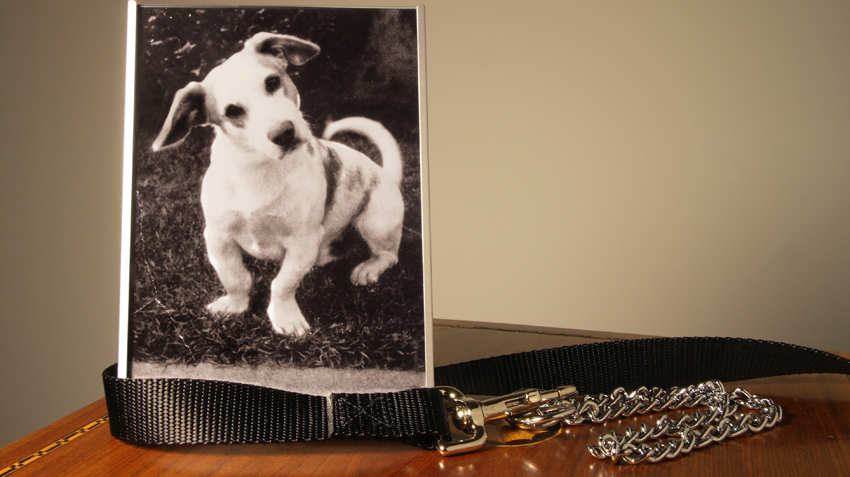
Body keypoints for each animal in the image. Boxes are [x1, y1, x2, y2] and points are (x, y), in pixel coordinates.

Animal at [151, 32, 405, 337]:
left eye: (272, 81)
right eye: (232, 111)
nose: (284, 133)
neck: (258, 170)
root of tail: (387, 175)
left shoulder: (302, 241)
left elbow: (282, 284)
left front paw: (284, 316)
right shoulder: (217, 237)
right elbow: (235, 278)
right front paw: (235, 306)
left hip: (375, 224)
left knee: (388, 255)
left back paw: (368, 268)